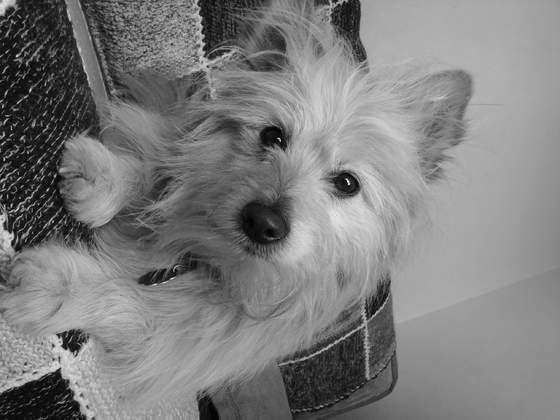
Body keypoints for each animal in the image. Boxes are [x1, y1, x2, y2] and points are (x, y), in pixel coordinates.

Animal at [0, 0, 472, 409]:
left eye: (347, 183)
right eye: (273, 136)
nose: (262, 221)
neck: (203, 256)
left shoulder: (169, 342)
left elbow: (125, 302)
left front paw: (57, 286)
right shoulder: (171, 156)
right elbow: (153, 170)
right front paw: (100, 182)